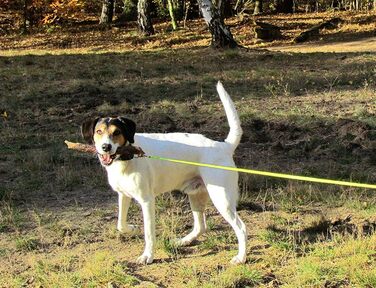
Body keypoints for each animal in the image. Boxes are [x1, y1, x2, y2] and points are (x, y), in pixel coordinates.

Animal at [81, 82, 247, 264]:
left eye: (117, 132)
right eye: (99, 131)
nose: (106, 147)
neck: (126, 158)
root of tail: (224, 146)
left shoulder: (147, 201)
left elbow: (149, 234)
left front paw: (148, 256)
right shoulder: (123, 195)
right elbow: (120, 224)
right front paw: (132, 228)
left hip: (221, 198)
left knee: (241, 228)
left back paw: (241, 257)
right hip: (196, 195)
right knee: (200, 227)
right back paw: (183, 241)